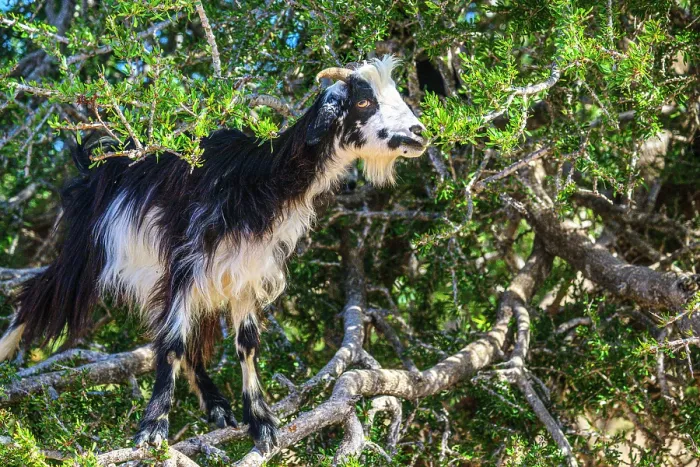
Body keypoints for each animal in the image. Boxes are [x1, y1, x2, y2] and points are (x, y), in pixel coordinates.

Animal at [0, 56, 427, 451]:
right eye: (362, 102)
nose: (419, 133)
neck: (256, 180)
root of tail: (97, 163)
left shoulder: (246, 270)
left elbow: (245, 343)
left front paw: (261, 422)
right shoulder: (186, 262)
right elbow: (172, 343)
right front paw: (153, 427)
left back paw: (217, 405)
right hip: (87, 252)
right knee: (40, 294)